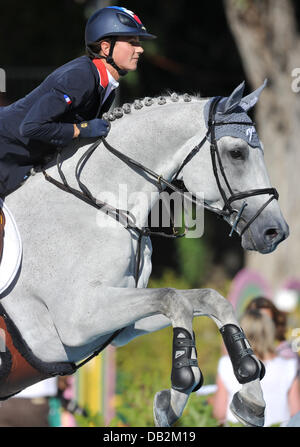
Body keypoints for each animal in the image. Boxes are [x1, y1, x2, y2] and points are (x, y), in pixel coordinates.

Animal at [0, 80, 288, 428]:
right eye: (237, 153)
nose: (276, 231)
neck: (99, 206)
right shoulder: (78, 321)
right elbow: (173, 298)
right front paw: (184, 379)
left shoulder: (119, 327)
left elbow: (206, 299)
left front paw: (247, 397)